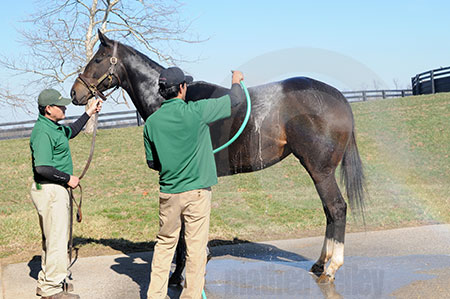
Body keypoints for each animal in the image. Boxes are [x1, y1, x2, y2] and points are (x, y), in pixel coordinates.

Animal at [71, 31, 366, 284]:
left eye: (98, 59)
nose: (76, 93)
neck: (172, 101)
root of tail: (339, 98)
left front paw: (178, 276)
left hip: (320, 170)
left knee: (336, 208)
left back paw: (331, 268)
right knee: (329, 211)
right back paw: (319, 263)